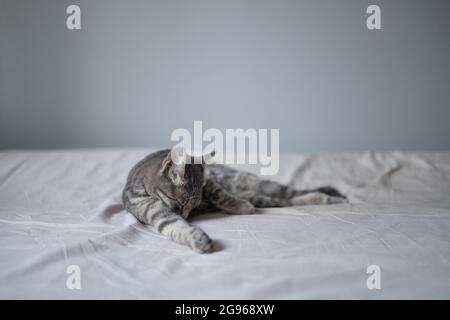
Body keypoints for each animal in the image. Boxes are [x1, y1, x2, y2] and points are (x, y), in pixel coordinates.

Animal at [121, 149, 346, 254]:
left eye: (191, 205)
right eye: (183, 204)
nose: (187, 215)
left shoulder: (209, 184)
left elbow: (221, 194)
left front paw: (239, 205)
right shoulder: (147, 207)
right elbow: (172, 224)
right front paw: (195, 236)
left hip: (259, 182)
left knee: (290, 193)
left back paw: (330, 197)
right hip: (267, 197)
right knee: (282, 200)